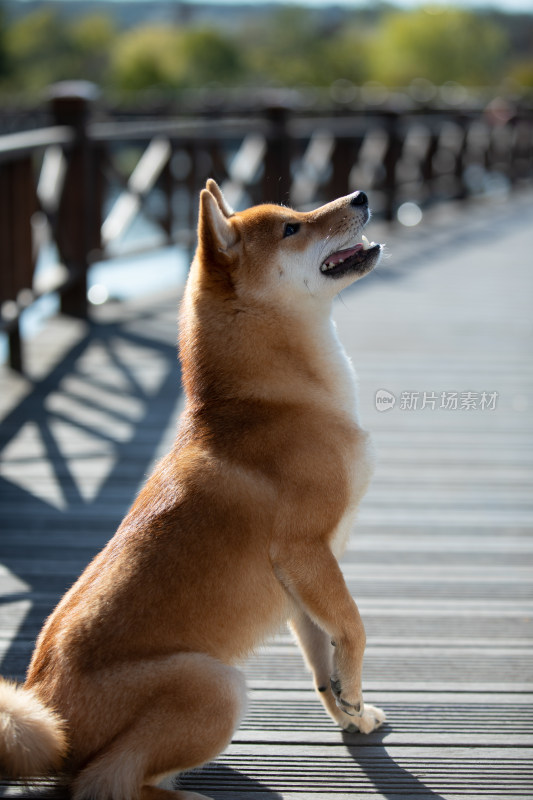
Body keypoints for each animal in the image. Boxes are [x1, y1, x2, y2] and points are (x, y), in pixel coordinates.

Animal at [0, 183, 384, 800]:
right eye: (292, 228)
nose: (361, 195)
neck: (277, 400)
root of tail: (51, 718)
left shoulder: (301, 582)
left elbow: (320, 661)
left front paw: (352, 711)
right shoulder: (307, 551)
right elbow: (353, 628)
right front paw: (354, 688)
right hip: (214, 685)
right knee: (108, 780)